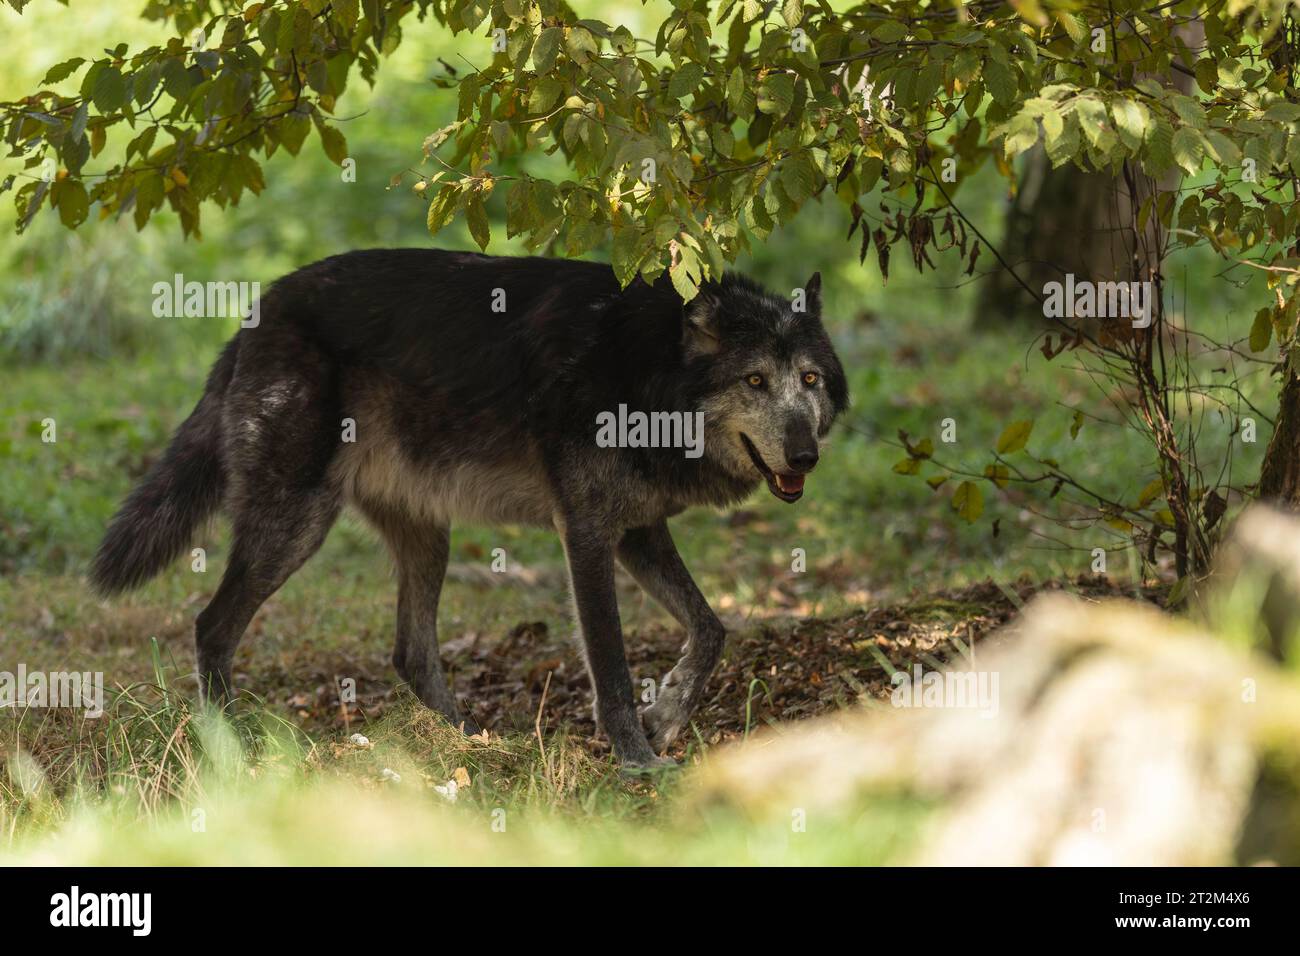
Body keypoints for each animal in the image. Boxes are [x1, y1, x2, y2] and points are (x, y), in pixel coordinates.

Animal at [90, 249, 849, 767]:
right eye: (755, 381)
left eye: (809, 380)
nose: (806, 456)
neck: (644, 372)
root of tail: (257, 313)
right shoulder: (586, 533)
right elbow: (610, 664)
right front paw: (638, 760)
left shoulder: (637, 530)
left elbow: (713, 627)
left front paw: (665, 717)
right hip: (295, 527)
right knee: (211, 626)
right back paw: (232, 746)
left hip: (428, 538)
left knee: (409, 652)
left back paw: (467, 745)